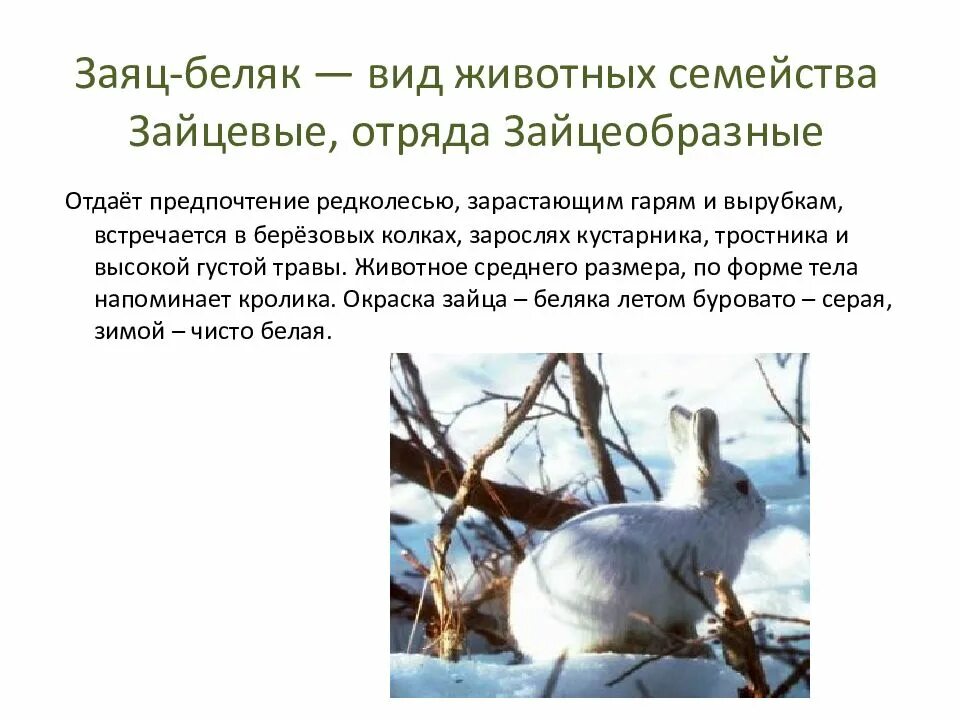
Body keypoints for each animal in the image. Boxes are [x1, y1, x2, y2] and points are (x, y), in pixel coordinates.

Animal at [508, 405, 766, 660]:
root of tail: (533, 640)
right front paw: (701, 649)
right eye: (742, 486)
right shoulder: (688, 601)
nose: (763, 507)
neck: (707, 512)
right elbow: (687, 627)